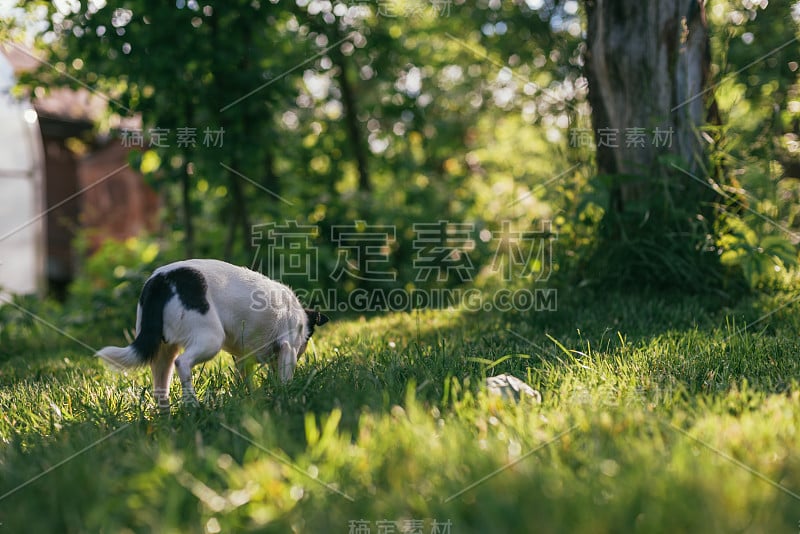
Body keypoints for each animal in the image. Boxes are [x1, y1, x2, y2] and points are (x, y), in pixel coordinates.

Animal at [97, 260, 328, 410]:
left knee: (161, 389)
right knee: (183, 363)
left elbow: (246, 380)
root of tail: (162, 280)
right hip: (210, 340)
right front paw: (286, 396)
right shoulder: (288, 348)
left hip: (163, 354)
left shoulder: (244, 358)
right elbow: (285, 379)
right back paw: (192, 405)